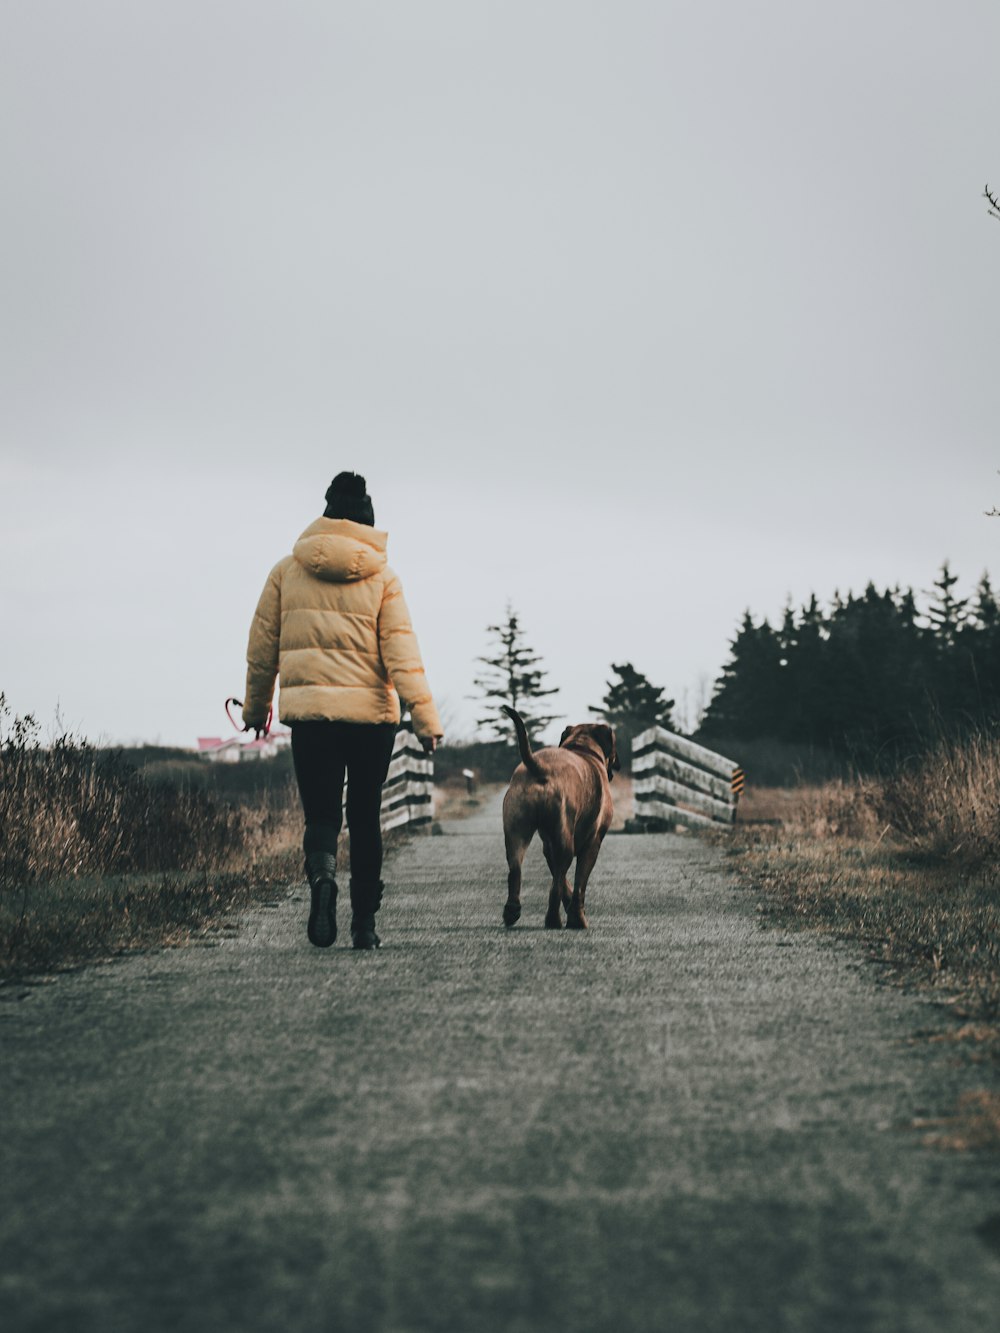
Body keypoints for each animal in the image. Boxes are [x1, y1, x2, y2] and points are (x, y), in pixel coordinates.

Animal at [501, 703, 618, 933]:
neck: (583, 748)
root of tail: (540, 768)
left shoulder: (549, 846)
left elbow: (563, 881)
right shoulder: (592, 844)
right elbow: (579, 883)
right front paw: (577, 919)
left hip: (516, 833)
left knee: (516, 871)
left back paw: (512, 911)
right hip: (565, 842)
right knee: (554, 888)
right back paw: (553, 920)